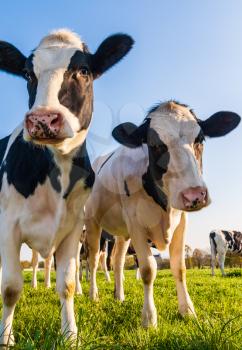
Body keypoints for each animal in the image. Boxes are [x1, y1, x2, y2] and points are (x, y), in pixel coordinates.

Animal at [0, 28, 133, 344]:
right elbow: (10, 288)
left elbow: (68, 284)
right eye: (27, 73)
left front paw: (70, 335)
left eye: (83, 70)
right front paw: (6, 338)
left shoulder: (73, 229)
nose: (42, 119)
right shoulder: (8, 225)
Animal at [85, 99, 240, 328]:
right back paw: (93, 295)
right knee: (94, 259)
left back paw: (119, 296)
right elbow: (148, 269)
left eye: (200, 139)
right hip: (92, 222)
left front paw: (188, 310)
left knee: (117, 261)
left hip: (122, 233)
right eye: (154, 144)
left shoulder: (181, 221)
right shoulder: (136, 224)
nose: (195, 195)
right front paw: (149, 319)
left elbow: (180, 268)